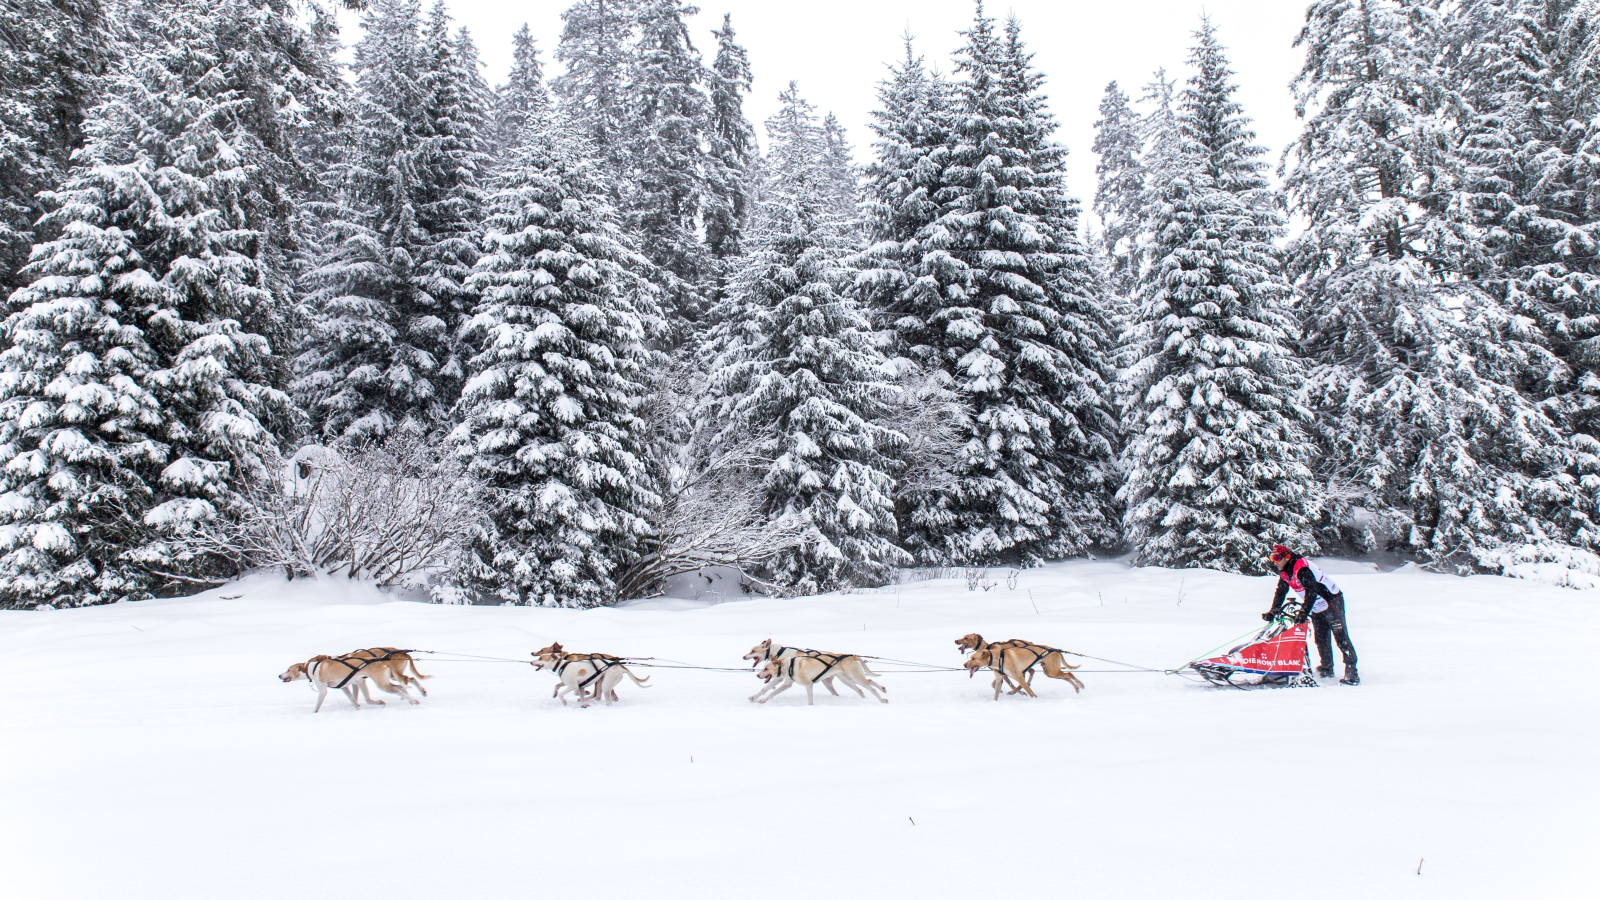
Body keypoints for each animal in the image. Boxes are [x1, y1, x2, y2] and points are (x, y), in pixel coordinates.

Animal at [278, 646, 422, 711]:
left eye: (288, 669)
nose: (279, 675)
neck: (313, 667)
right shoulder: (347, 686)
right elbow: (353, 699)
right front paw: (357, 707)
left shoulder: (323, 690)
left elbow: (318, 705)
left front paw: (314, 713)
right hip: (386, 681)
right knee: (401, 686)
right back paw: (412, 699)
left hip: (383, 683)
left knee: (400, 687)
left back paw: (411, 699)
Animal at [748, 646, 889, 704]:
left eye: (766, 668)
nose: (758, 675)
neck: (789, 665)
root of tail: (852, 656)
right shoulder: (786, 683)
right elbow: (770, 690)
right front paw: (758, 698)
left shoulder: (808, 684)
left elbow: (810, 700)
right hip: (849, 679)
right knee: (869, 681)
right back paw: (882, 689)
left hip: (855, 678)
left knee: (871, 688)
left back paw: (882, 699)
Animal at [960, 640, 1088, 698]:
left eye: (973, 658)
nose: (964, 665)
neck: (999, 658)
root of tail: (1056, 650)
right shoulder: (999, 679)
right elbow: (996, 693)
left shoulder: (1019, 677)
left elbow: (1028, 690)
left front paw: (1034, 699)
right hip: (1050, 672)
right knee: (1067, 675)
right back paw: (1077, 688)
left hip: (1053, 672)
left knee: (1069, 674)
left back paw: (1080, 685)